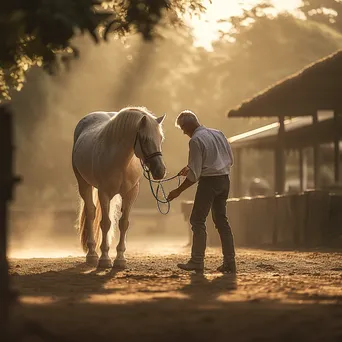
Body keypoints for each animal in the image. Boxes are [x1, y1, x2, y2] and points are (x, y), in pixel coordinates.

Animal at [72, 108, 167, 268]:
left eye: (161, 138)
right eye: (145, 139)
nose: (160, 171)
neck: (120, 161)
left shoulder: (130, 194)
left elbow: (123, 223)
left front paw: (120, 259)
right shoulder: (104, 193)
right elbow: (105, 223)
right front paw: (104, 259)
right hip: (84, 184)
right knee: (91, 213)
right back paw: (92, 255)